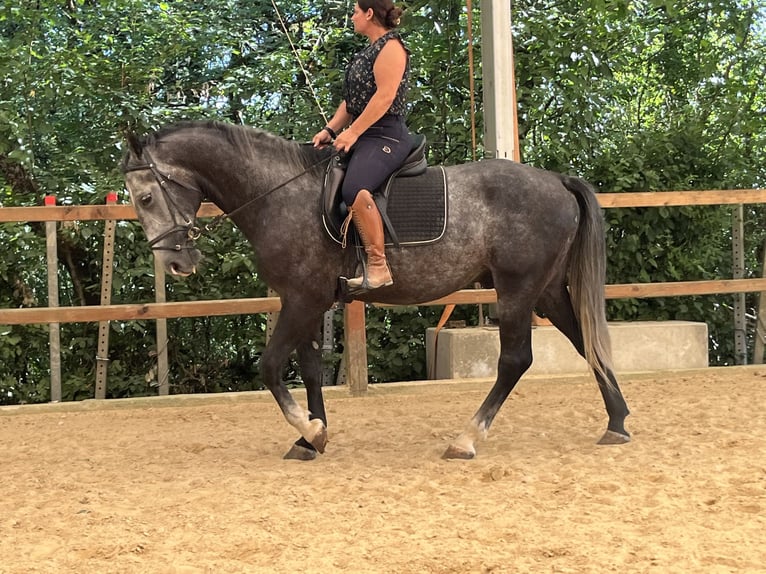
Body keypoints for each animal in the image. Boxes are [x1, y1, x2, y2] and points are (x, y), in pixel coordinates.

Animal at [122, 120, 630, 460]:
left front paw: (311, 430)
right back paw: (618, 423)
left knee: (515, 360)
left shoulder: (303, 299)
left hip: (518, 289)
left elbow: (269, 367)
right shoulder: (303, 300)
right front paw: (310, 438)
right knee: (586, 344)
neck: (279, 194)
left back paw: (466, 439)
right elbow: (310, 368)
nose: (176, 263)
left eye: (145, 197)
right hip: (546, 290)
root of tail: (557, 180)